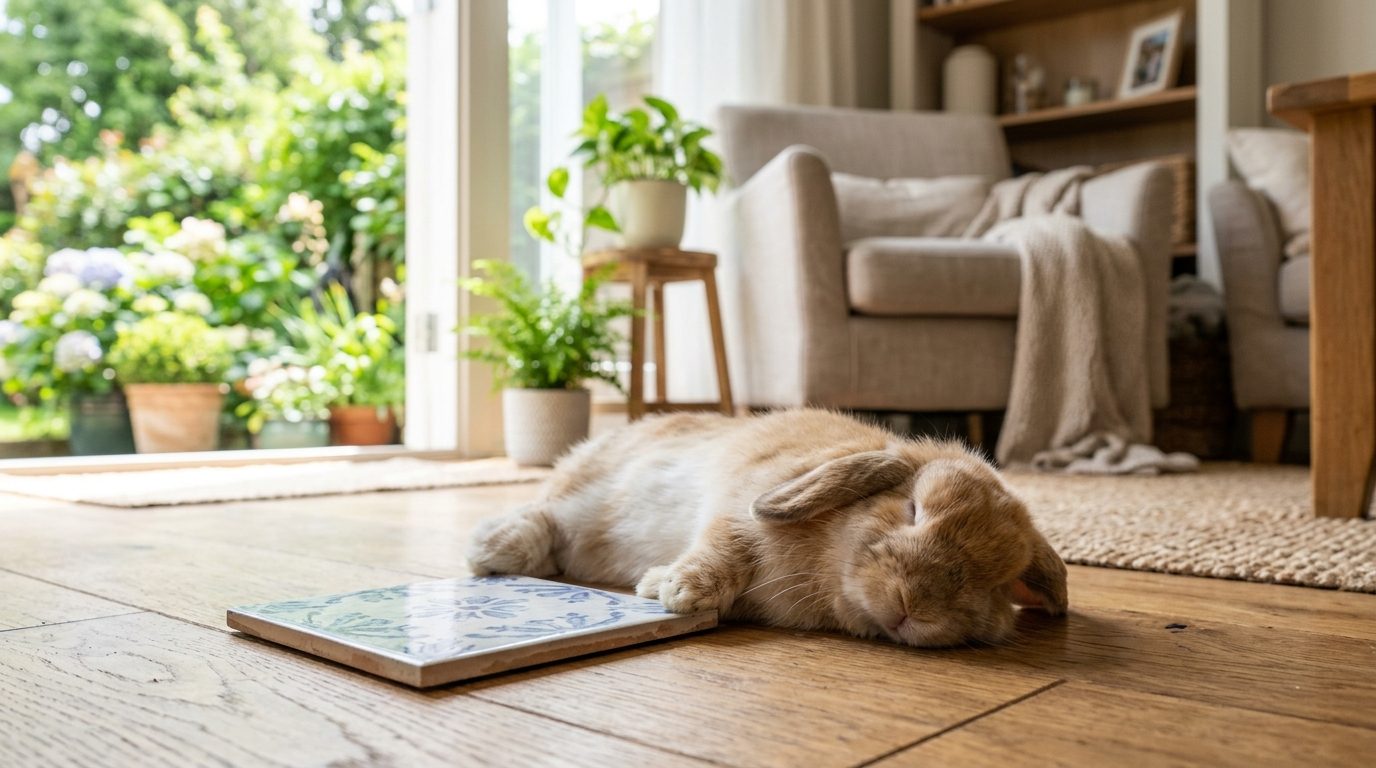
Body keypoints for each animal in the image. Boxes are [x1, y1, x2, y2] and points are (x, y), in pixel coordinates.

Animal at [467, 409, 1068, 647]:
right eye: (913, 509)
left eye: (997, 582)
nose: (911, 607)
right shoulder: (735, 510)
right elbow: (724, 550)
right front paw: (676, 591)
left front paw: (668, 588)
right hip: (591, 495)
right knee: (546, 516)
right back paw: (488, 549)